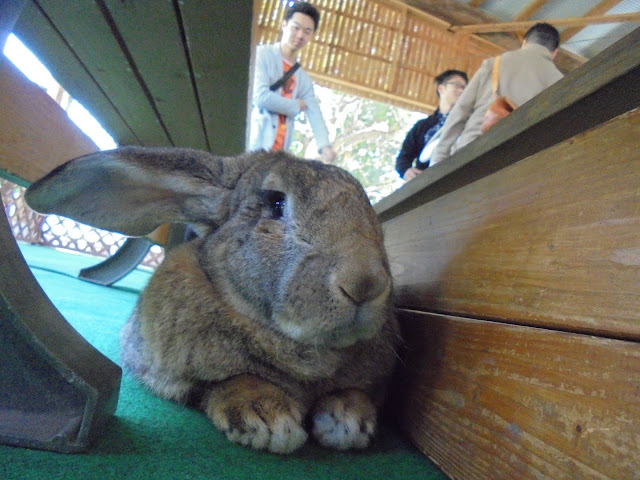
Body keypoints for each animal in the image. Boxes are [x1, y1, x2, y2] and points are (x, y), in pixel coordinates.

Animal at [28, 146, 404, 454]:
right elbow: (229, 381)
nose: (365, 284)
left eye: (372, 213)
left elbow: (356, 393)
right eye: (275, 203)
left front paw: (349, 420)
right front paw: (268, 419)